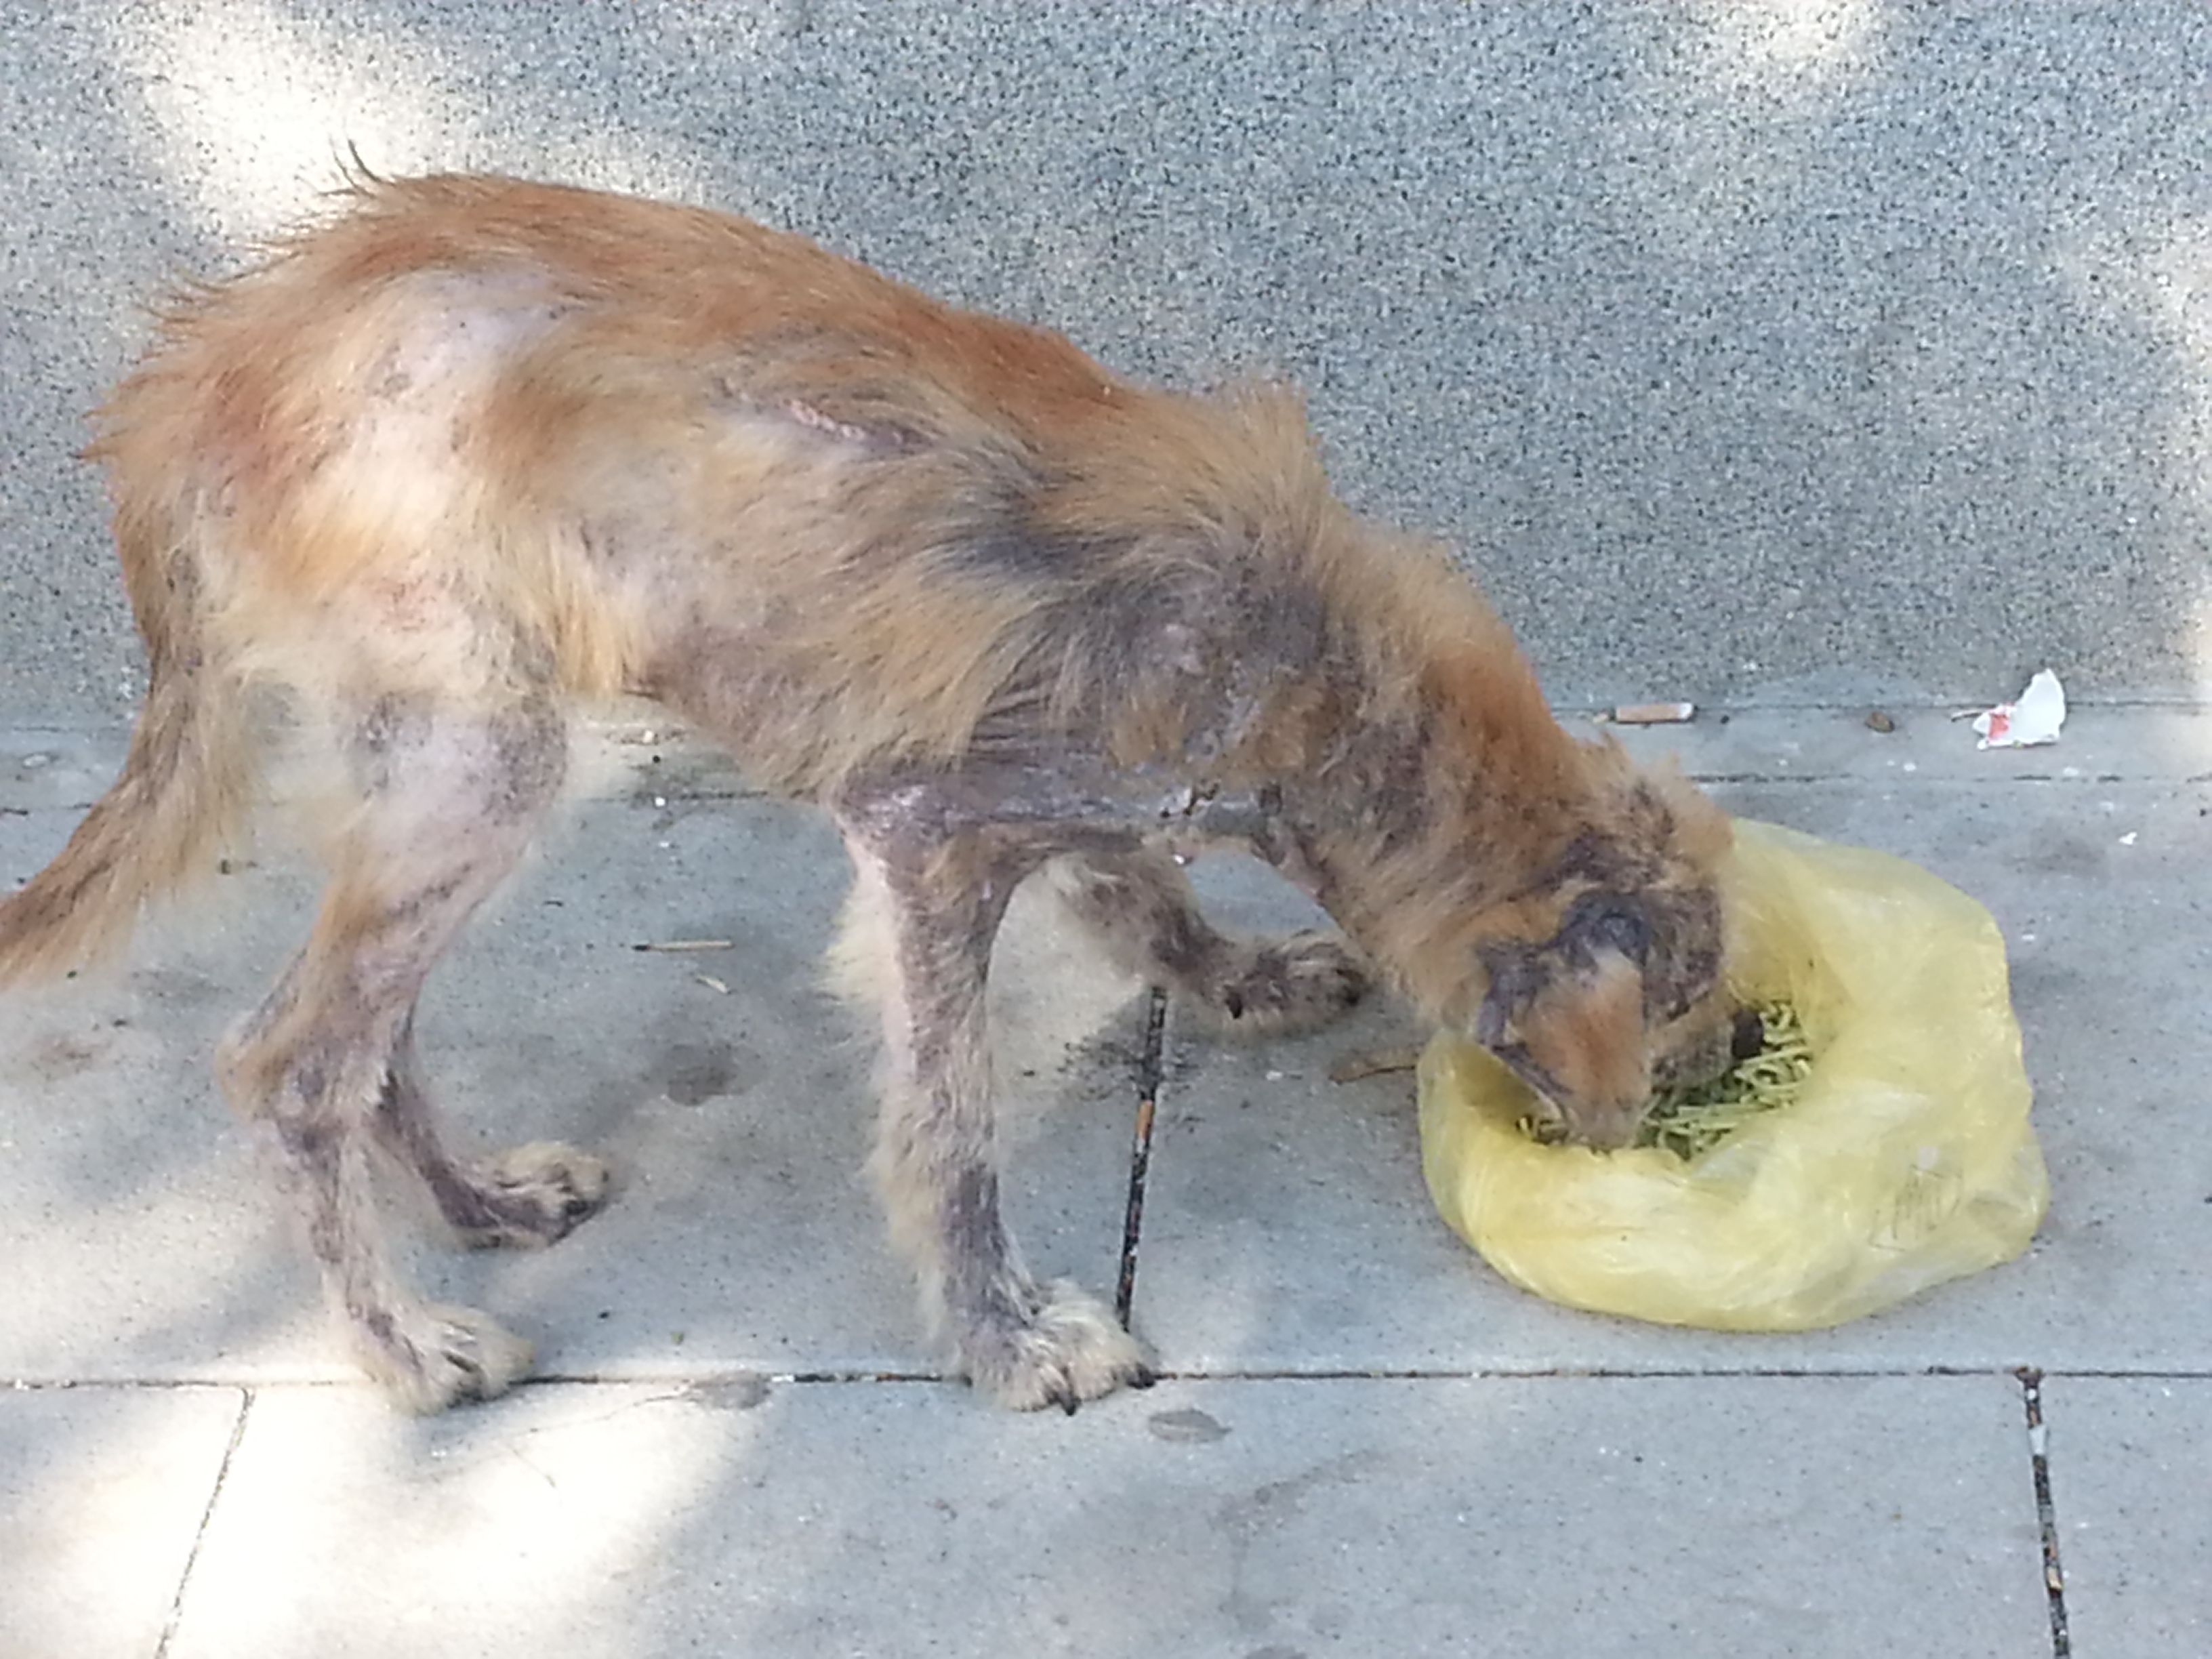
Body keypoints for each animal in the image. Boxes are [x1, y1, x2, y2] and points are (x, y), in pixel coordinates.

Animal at [0, 173, 1741, 1414]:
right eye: (1684, 1000)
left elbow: (1144, 892)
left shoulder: (1084, 800)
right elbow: (949, 1122)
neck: (1309, 668)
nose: (1738, 1065)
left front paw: (1238, 974)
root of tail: (208, 364)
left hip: (426, 771)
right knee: (293, 1064)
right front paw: (1009, 1336)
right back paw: (407, 1348)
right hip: (478, 763)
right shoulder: (926, 840)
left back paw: (483, 1200)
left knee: (372, 1038)